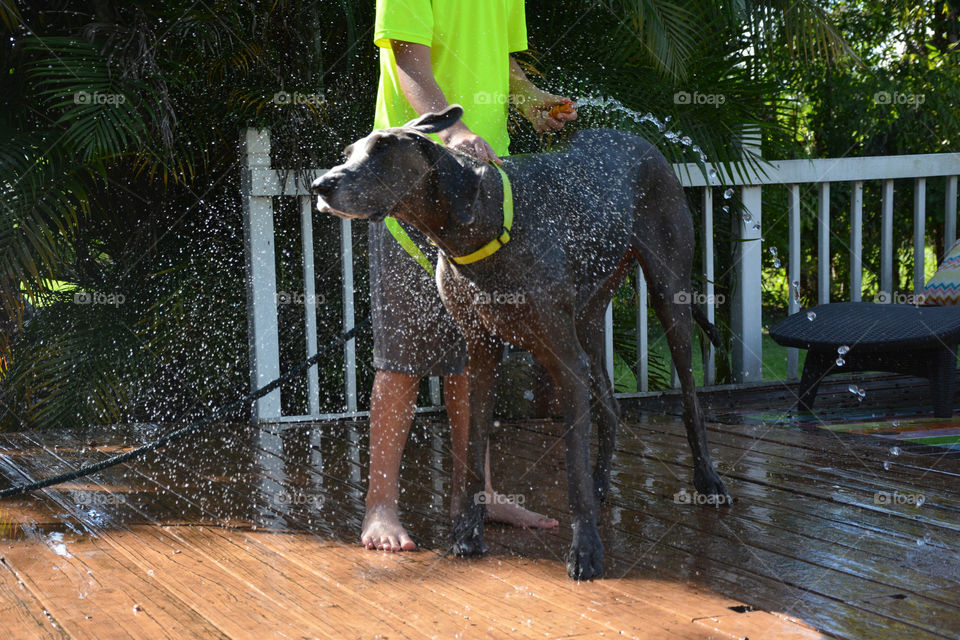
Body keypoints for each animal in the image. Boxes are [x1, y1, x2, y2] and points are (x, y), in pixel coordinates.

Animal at [314, 105, 728, 580]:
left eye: (383, 149)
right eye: (348, 153)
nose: (320, 185)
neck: (477, 224)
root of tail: (641, 141)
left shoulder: (564, 360)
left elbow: (572, 472)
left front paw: (586, 551)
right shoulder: (481, 354)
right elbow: (473, 453)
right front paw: (468, 533)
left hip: (668, 293)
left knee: (690, 395)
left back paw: (708, 480)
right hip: (588, 318)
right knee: (609, 403)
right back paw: (603, 480)